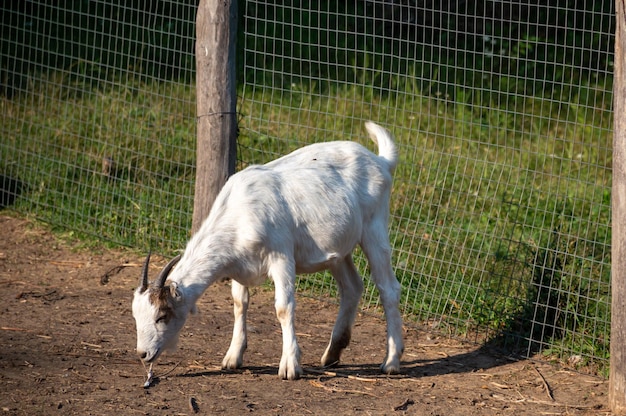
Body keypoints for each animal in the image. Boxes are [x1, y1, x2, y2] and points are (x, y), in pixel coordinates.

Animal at [132, 121, 404, 380]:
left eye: (162, 315)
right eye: (136, 316)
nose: (143, 354)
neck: (238, 214)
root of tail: (381, 161)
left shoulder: (281, 256)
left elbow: (283, 307)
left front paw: (290, 366)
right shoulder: (238, 265)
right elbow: (239, 303)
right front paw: (232, 357)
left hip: (374, 228)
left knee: (388, 288)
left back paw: (391, 361)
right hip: (338, 250)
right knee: (351, 287)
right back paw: (332, 354)